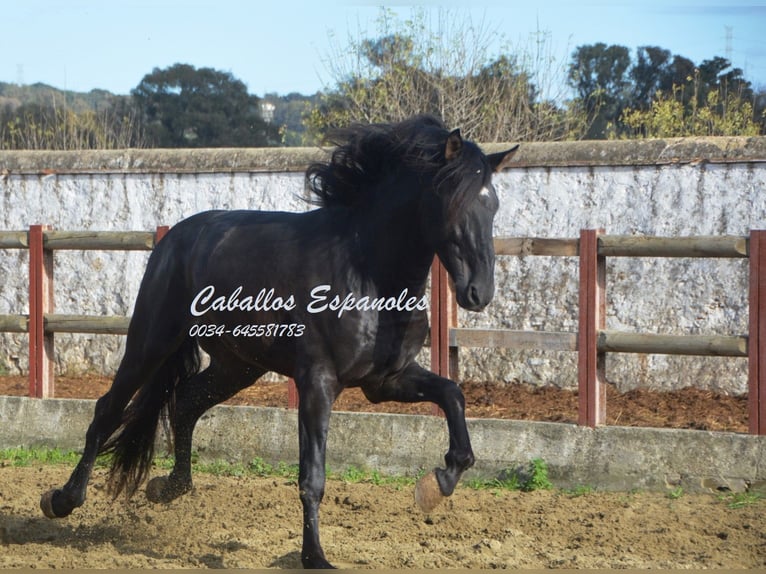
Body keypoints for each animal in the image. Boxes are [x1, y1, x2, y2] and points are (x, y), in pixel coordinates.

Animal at [39, 115, 520, 568]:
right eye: (452, 201)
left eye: (493, 204)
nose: (478, 293)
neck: (367, 270)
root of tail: (173, 238)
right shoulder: (318, 383)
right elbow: (313, 477)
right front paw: (316, 558)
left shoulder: (386, 380)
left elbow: (453, 395)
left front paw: (437, 484)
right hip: (152, 341)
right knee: (109, 409)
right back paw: (61, 500)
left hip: (237, 365)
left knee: (186, 401)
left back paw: (170, 488)